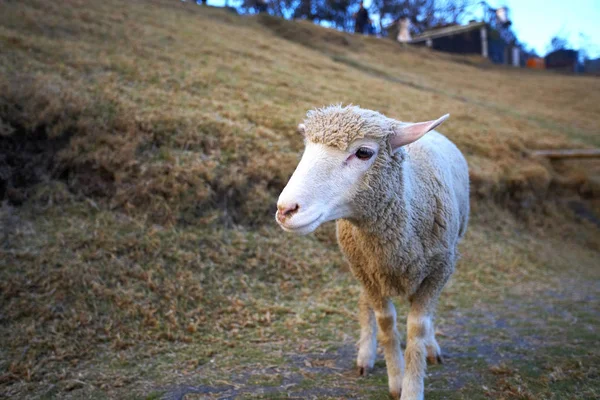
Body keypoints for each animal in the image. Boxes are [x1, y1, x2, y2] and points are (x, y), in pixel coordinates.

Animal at [276, 104, 468, 398]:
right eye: (307, 148)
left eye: (364, 152)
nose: (285, 210)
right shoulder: (368, 271)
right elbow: (386, 322)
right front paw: (396, 380)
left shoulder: (439, 270)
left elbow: (418, 326)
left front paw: (412, 387)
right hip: (360, 264)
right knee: (364, 301)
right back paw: (366, 354)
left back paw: (431, 347)